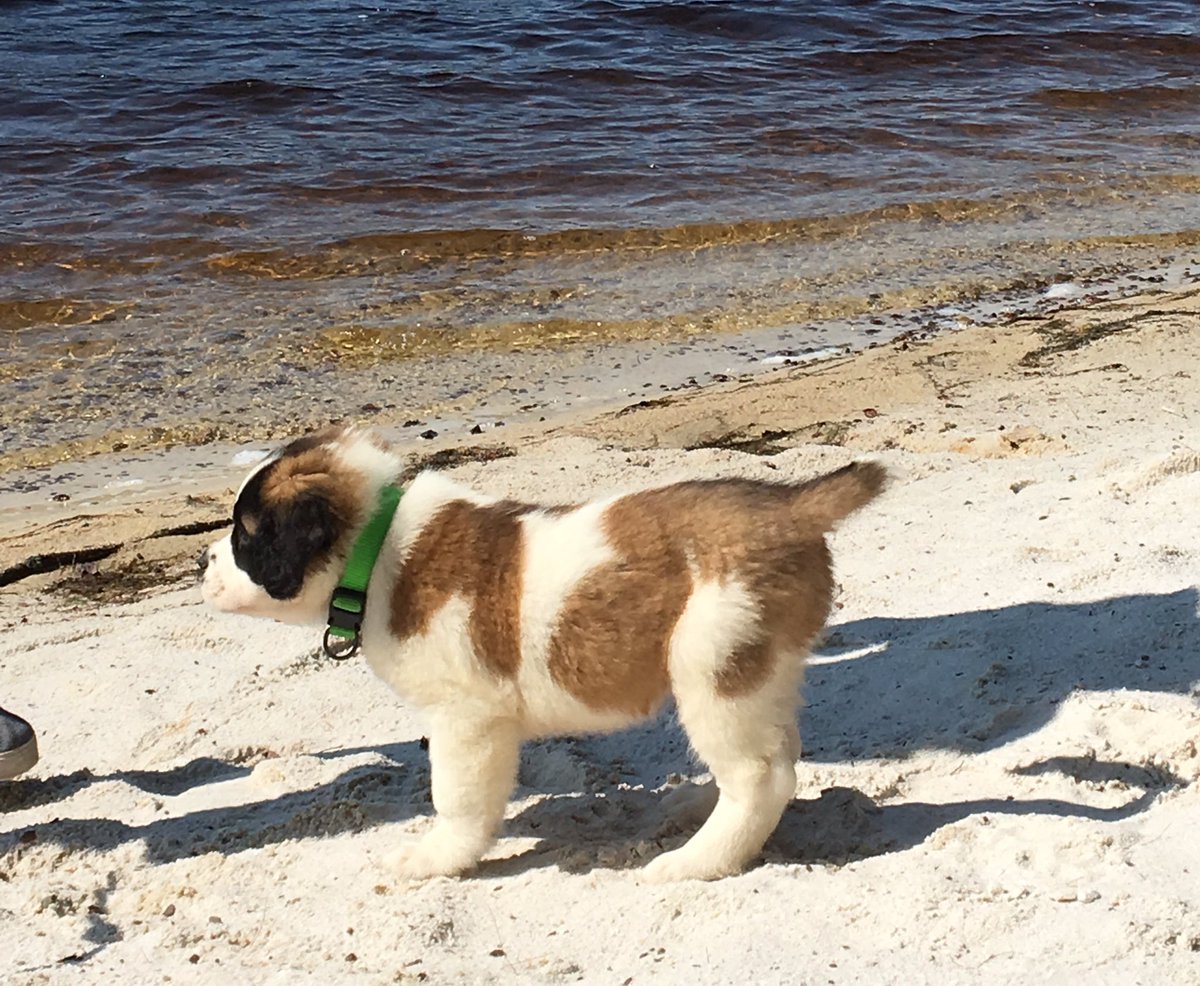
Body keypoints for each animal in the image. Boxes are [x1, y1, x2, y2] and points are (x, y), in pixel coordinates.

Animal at [201, 429, 888, 882]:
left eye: (244, 537)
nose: (201, 562)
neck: (381, 542)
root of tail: (790, 506)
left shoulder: (466, 720)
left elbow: (457, 798)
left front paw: (435, 858)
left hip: (713, 665)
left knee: (760, 776)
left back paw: (695, 861)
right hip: (761, 669)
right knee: (780, 752)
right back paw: (695, 808)